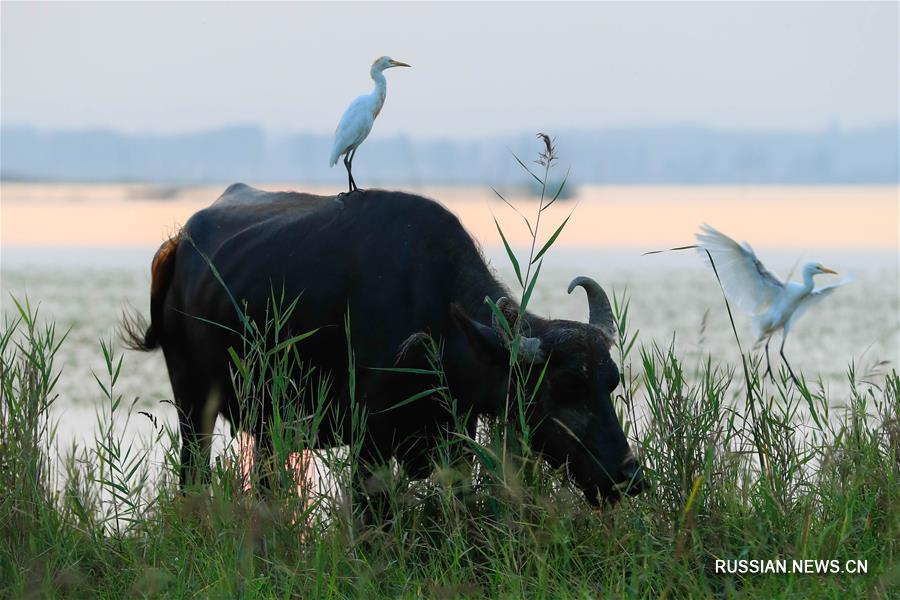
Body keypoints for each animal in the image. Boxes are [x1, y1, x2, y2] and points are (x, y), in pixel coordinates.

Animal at [126, 183, 648, 506]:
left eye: (611, 386)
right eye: (563, 390)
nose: (629, 477)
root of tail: (177, 244)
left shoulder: (453, 437)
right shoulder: (368, 441)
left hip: (270, 422)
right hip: (194, 407)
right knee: (193, 476)